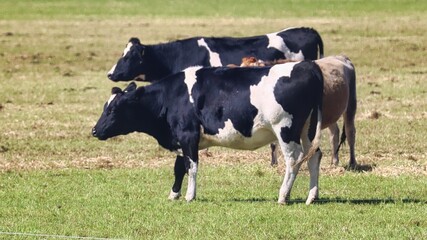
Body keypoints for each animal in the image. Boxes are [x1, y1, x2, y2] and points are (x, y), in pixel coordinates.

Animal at [93, 61, 324, 203]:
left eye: (113, 110)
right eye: (105, 107)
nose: (94, 130)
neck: (171, 97)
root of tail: (306, 66)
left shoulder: (188, 135)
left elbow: (192, 167)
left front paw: (189, 196)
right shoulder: (181, 139)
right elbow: (179, 168)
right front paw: (173, 194)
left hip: (285, 129)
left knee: (294, 159)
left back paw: (283, 195)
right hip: (308, 129)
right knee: (314, 156)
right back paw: (311, 197)